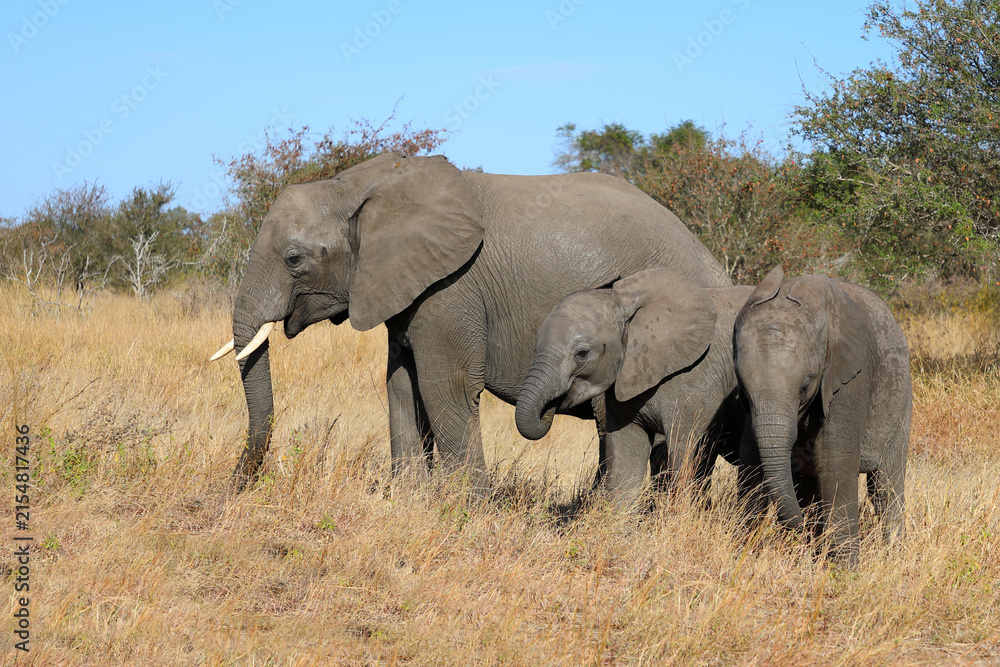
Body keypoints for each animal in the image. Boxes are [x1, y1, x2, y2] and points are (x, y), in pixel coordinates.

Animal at [210, 152, 732, 492]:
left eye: (294, 259)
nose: (236, 484)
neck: (360, 185)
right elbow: (401, 383)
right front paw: (409, 500)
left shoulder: (451, 289)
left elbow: (446, 385)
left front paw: (465, 507)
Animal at [515, 268, 754, 501]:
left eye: (582, 353)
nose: (551, 405)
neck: (623, 302)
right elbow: (624, 461)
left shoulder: (697, 377)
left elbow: (687, 454)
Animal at [733, 265, 911, 562]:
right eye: (743, 389)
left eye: (806, 384)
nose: (798, 527)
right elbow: (751, 458)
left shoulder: (851, 377)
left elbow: (834, 457)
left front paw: (844, 569)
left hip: (901, 402)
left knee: (886, 487)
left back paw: (892, 553)